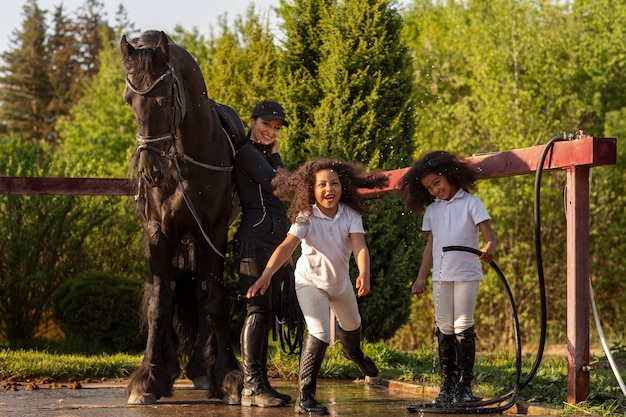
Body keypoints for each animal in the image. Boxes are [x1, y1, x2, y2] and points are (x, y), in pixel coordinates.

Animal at [121, 29, 241, 404]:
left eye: (163, 101)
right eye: (130, 100)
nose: (150, 172)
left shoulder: (213, 232)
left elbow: (214, 299)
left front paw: (228, 375)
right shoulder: (159, 232)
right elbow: (160, 302)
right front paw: (148, 377)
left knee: (202, 293)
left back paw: (203, 368)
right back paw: (171, 367)